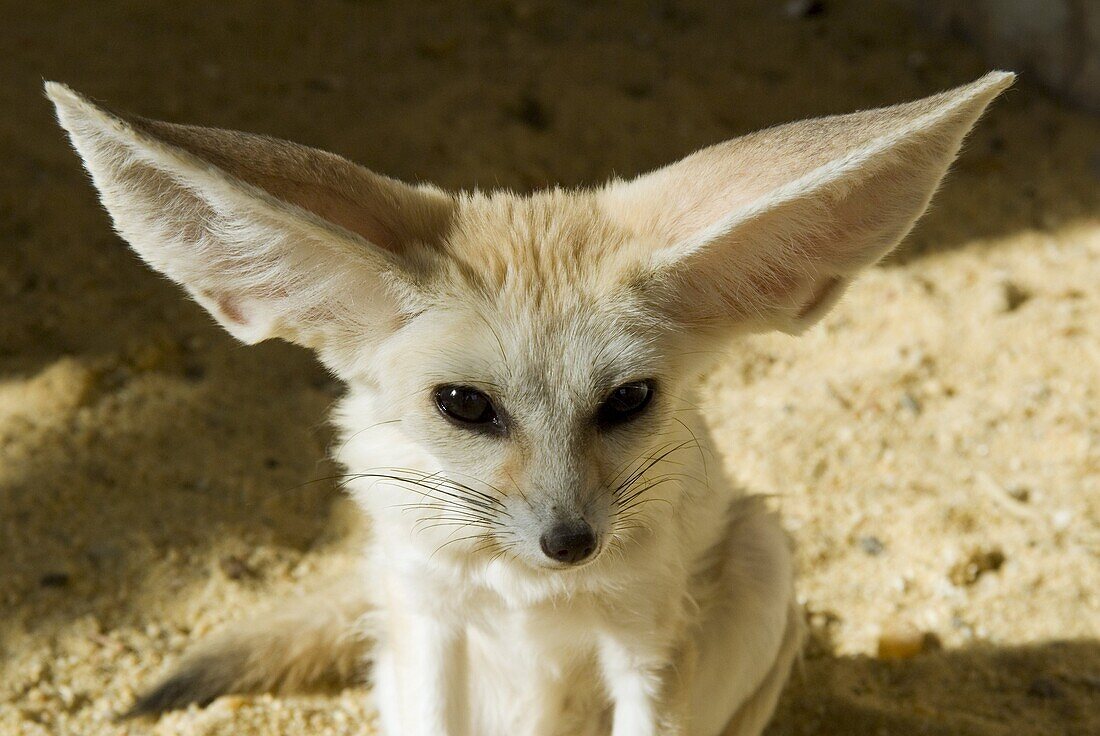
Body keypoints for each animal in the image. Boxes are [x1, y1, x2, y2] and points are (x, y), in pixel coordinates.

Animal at [51, 70, 1012, 734]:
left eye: (628, 400)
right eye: (464, 406)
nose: (569, 543)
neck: (525, 590)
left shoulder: (648, 645)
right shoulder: (430, 618)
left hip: (765, 551)